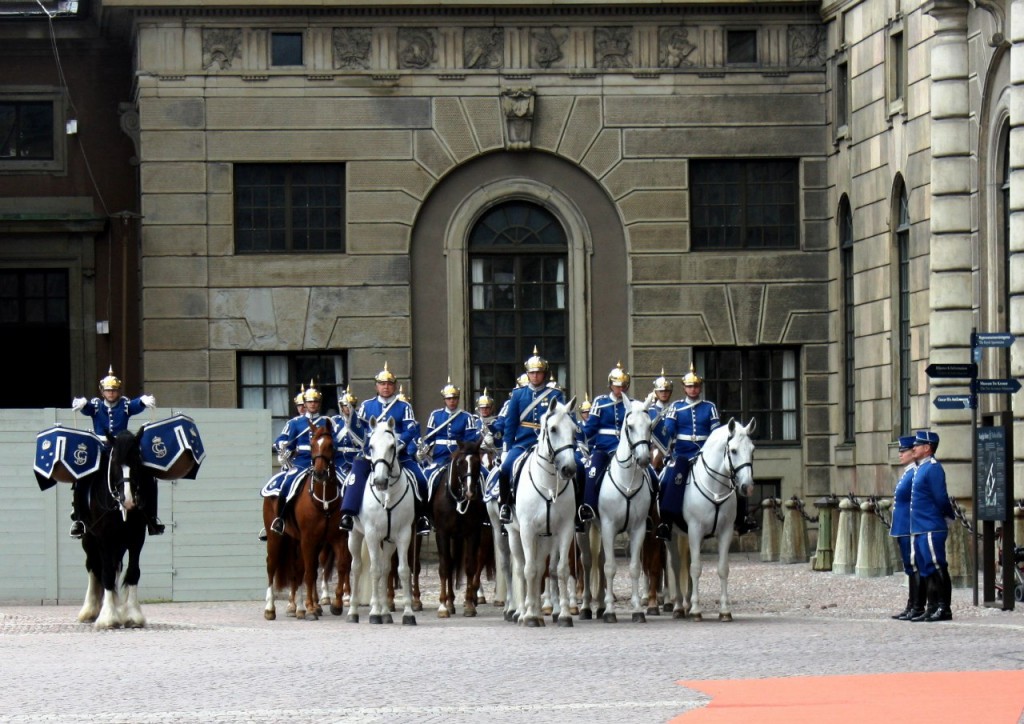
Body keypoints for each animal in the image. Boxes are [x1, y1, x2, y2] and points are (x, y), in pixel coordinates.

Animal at [75, 430, 155, 626]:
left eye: (137, 461)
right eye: (115, 463)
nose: (128, 500)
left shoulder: (136, 538)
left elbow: (133, 572)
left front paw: (132, 614)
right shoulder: (103, 538)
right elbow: (107, 573)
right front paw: (108, 617)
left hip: (119, 544)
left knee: (116, 565)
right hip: (90, 540)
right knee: (93, 566)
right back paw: (89, 609)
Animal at [344, 419, 415, 626]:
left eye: (392, 446)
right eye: (372, 446)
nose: (380, 481)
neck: (387, 495)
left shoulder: (403, 535)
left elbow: (403, 571)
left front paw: (408, 613)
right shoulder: (372, 535)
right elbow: (374, 570)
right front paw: (374, 612)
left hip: (389, 542)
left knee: (385, 568)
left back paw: (386, 613)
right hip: (355, 536)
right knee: (357, 568)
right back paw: (354, 611)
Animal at [503, 399, 577, 626]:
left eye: (574, 430)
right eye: (553, 429)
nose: (569, 469)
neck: (549, 486)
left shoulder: (565, 529)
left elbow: (560, 570)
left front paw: (564, 615)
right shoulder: (527, 530)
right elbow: (529, 570)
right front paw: (529, 616)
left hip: (545, 538)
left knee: (541, 567)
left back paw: (535, 610)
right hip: (514, 534)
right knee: (521, 569)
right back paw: (522, 612)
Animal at [589, 397, 651, 622]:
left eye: (649, 426)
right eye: (630, 426)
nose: (643, 459)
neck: (627, 482)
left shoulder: (638, 528)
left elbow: (634, 568)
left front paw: (637, 609)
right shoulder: (608, 527)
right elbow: (610, 567)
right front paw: (610, 611)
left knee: (598, 561)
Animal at [667, 419, 757, 622]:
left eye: (752, 450)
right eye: (733, 450)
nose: (747, 487)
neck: (715, 488)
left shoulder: (725, 532)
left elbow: (722, 569)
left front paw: (724, 611)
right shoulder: (695, 530)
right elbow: (695, 568)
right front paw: (696, 610)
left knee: (685, 564)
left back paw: (686, 604)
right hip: (671, 534)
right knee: (676, 565)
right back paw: (678, 607)